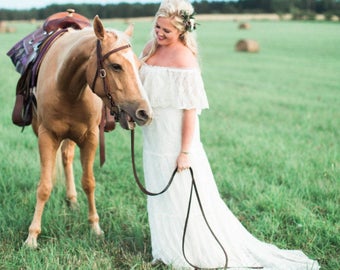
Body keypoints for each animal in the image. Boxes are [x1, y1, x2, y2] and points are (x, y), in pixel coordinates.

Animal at [25, 14, 153, 247]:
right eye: (116, 66)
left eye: (139, 65)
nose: (144, 112)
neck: (67, 88)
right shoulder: (47, 137)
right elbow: (44, 186)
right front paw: (32, 236)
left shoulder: (91, 137)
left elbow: (89, 182)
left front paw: (95, 227)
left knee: (67, 157)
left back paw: (72, 201)